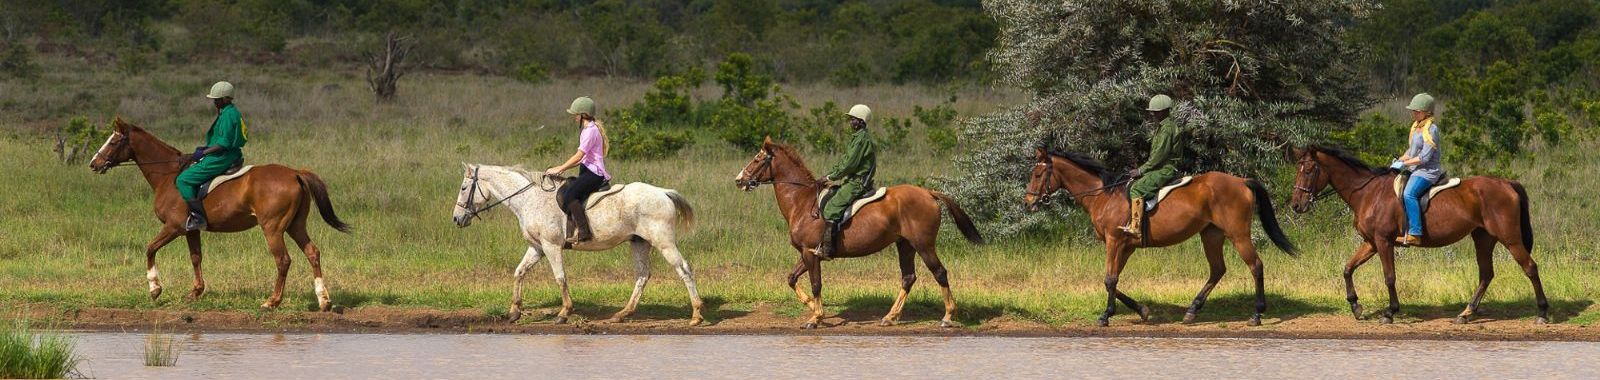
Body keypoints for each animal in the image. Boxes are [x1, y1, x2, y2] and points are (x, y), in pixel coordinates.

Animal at [87, 118, 350, 311]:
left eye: (113, 142)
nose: (93, 164)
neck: (168, 174)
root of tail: (295, 173)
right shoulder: (191, 229)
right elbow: (196, 257)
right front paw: (195, 291)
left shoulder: (173, 227)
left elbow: (150, 248)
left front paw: (155, 289)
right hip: (295, 225)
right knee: (312, 253)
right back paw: (323, 300)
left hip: (273, 228)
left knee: (283, 260)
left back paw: (272, 301)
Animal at [451, 163, 700, 327]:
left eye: (463, 188)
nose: (456, 219)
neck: (531, 199)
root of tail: (664, 193)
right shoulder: (537, 248)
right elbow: (519, 272)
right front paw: (514, 312)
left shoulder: (551, 246)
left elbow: (560, 277)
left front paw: (564, 313)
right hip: (640, 243)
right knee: (642, 276)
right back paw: (622, 314)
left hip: (663, 242)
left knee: (684, 269)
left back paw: (696, 315)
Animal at [732, 138, 979, 327]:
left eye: (757, 159)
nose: (739, 180)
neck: (801, 201)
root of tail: (928, 193)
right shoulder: (807, 253)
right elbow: (792, 278)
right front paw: (814, 308)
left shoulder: (810, 253)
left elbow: (816, 284)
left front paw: (816, 317)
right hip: (905, 245)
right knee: (908, 277)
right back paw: (890, 317)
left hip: (924, 245)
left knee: (940, 273)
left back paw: (947, 316)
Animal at [1024, 148, 1299, 327]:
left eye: (1037, 175)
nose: (1028, 201)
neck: (1104, 195)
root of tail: (1241, 181)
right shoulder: (1126, 246)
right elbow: (1114, 280)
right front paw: (1142, 310)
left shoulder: (1114, 241)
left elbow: (1110, 279)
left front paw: (1106, 315)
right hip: (1211, 234)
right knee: (1217, 270)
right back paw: (1192, 311)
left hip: (1238, 234)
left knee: (1256, 266)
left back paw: (1257, 315)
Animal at [1286, 145, 1548, 324]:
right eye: (1298, 169)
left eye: (1310, 169)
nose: (1296, 205)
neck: (1368, 192)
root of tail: (1507, 183)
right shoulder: (1371, 242)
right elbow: (1348, 268)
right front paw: (1355, 306)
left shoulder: (1383, 242)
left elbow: (1389, 277)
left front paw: (1390, 312)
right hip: (1483, 237)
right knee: (1486, 274)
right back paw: (1465, 313)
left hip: (1509, 238)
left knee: (1530, 268)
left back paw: (1542, 312)